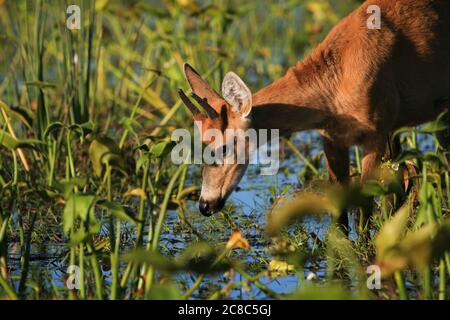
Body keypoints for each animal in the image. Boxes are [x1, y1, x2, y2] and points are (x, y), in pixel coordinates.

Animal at [178, 0, 450, 231]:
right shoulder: (332, 137)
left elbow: (364, 206)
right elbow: (340, 210)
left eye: (224, 147)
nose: (204, 205)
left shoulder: (376, 132)